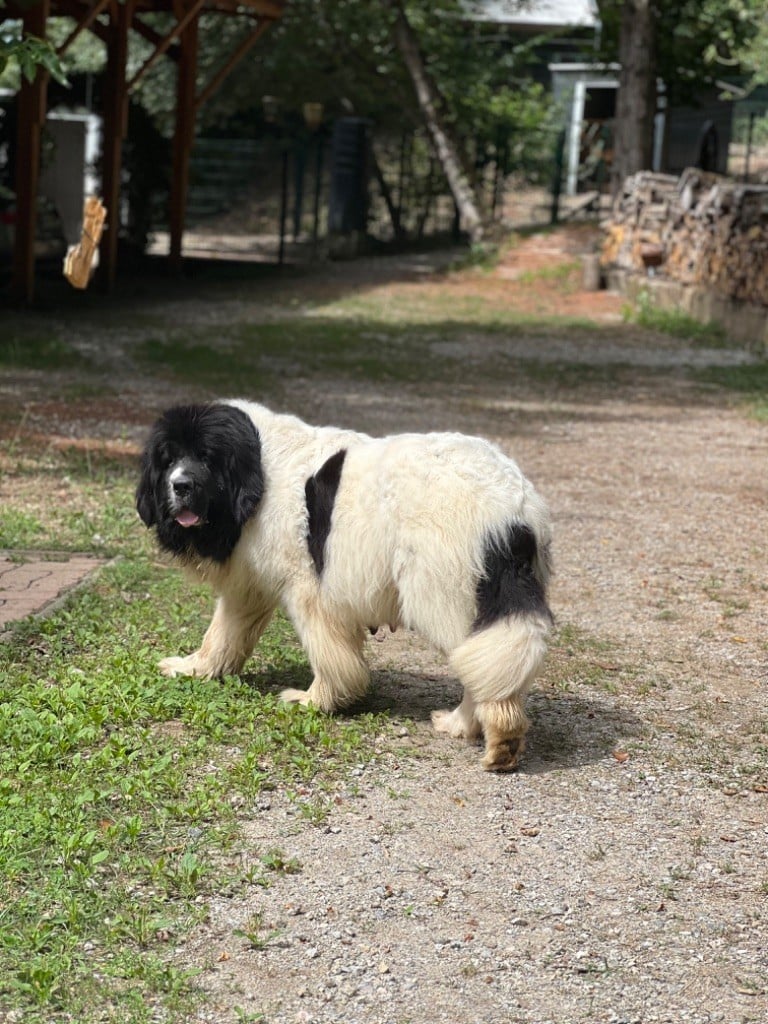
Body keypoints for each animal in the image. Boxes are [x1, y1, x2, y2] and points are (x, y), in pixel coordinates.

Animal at [137, 399, 552, 770]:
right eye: (168, 459)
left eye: (206, 458)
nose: (181, 485)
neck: (257, 475)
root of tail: (511, 506)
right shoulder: (250, 585)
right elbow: (223, 633)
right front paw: (195, 668)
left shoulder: (309, 588)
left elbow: (327, 651)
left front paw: (316, 700)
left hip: (442, 591)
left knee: (481, 660)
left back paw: (480, 727)